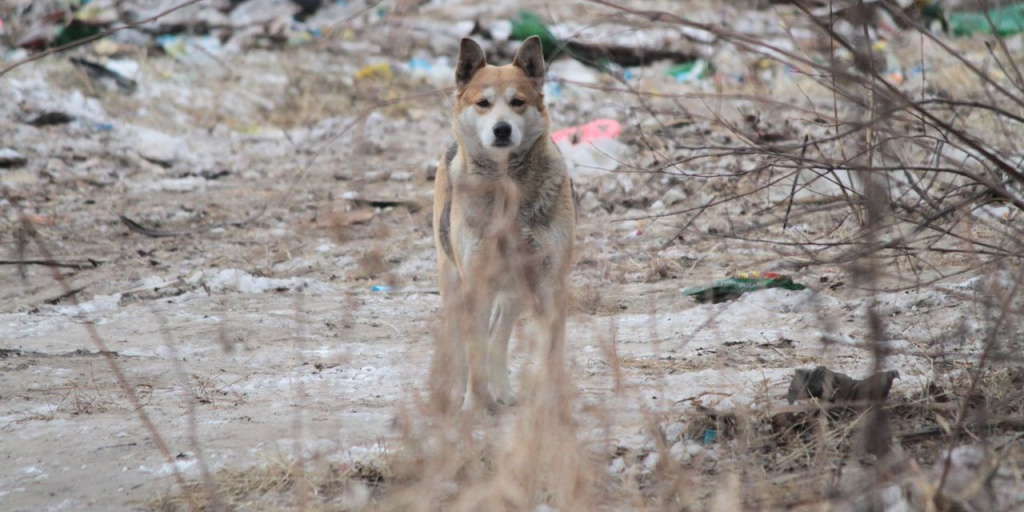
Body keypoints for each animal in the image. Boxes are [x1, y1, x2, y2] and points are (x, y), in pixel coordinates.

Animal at [432, 36, 577, 411]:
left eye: (518, 102)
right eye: (483, 103)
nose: (502, 129)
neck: (507, 188)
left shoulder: (551, 284)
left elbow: (551, 351)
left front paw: (551, 406)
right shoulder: (476, 283)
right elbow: (474, 353)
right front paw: (473, 407)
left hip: (517, 292)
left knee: (498, 336)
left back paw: (503, 391)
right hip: (453, 282)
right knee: (460, 342)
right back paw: (458, 394)